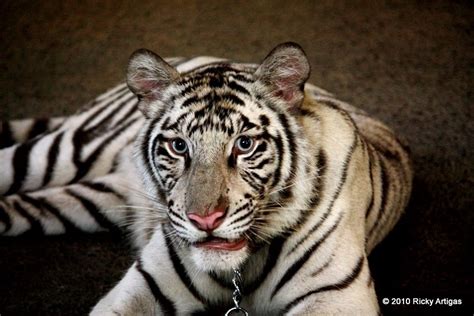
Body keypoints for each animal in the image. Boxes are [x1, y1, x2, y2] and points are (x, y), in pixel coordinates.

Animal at [0, 43, 412, 314]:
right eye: (179, 146)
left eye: (244, 144)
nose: (205, 220)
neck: (240, 273)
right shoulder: (144, 286)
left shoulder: (336, 297)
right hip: (71, 147)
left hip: (95, 198)